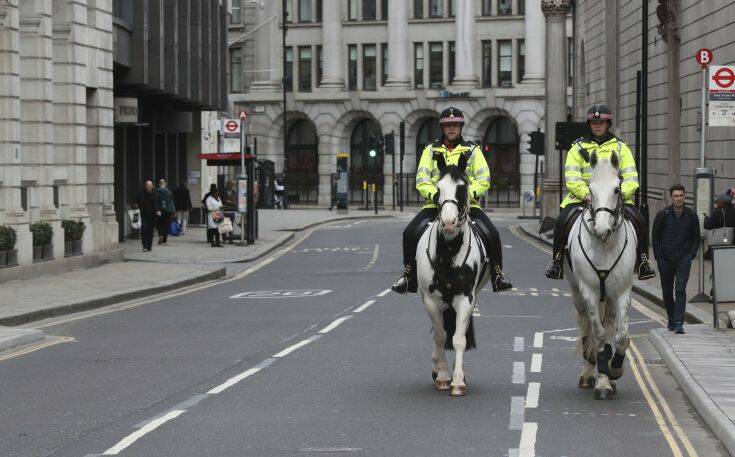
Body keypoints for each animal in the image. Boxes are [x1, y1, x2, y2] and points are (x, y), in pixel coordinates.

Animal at [416, 153, 492, 396]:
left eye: (462, 188)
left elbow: (459, 338)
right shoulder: (431, 300)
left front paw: (458, 380)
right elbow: (440, 336)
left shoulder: (465, 298)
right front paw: (442, 375)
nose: (448, 223)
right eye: (438, 188)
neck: (449, 252)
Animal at [568, 151, 636, 398]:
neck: (605, 246)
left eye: (617, 189)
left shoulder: (623, 291)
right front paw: (603, 379)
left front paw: (614, 369)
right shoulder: (588, 290)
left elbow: (622, 336)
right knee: (586, 326)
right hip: (577, 294)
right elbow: (596, 334)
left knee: (609, 324)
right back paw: (589, 372)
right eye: (591, 188)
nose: (601, 230)